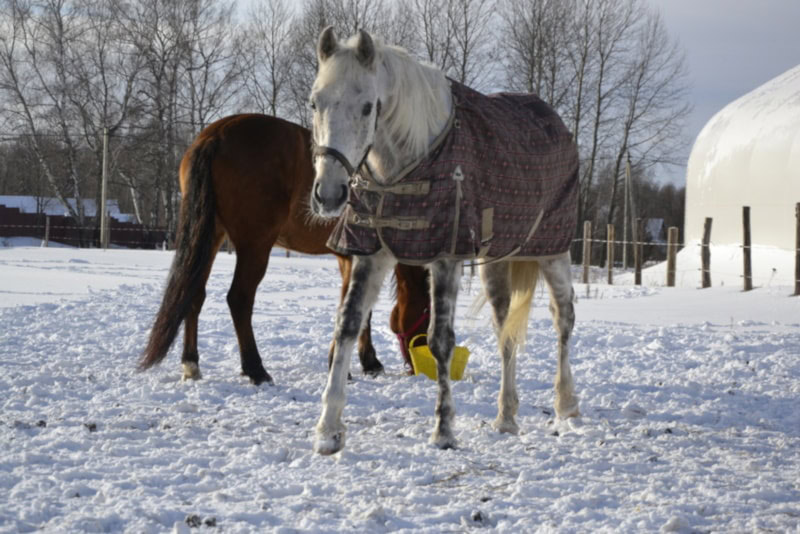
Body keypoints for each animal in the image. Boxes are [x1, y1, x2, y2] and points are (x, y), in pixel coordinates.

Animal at [138, 113, 429, 385]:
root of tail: (216, 135)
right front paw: (358, 363)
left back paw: (191, 364)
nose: (418, 367)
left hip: (211, 236)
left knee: (194, 295)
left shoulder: (347, 259)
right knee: (239, 299)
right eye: (428, 314)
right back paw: (255, 369)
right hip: (255, 246)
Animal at [308, 28, 581, 454]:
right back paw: (506, 418)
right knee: (504, 329)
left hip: (553, 252)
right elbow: (347, 326)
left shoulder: (445, 257)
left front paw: (444, 430)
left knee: (563, 319)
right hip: (496, 265)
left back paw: (566, 405)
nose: (330, 194)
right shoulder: (372, 254)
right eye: (314, 103)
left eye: (368, 107)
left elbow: (440, 341)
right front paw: (328, 430)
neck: (407, 162)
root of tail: (556, 122)